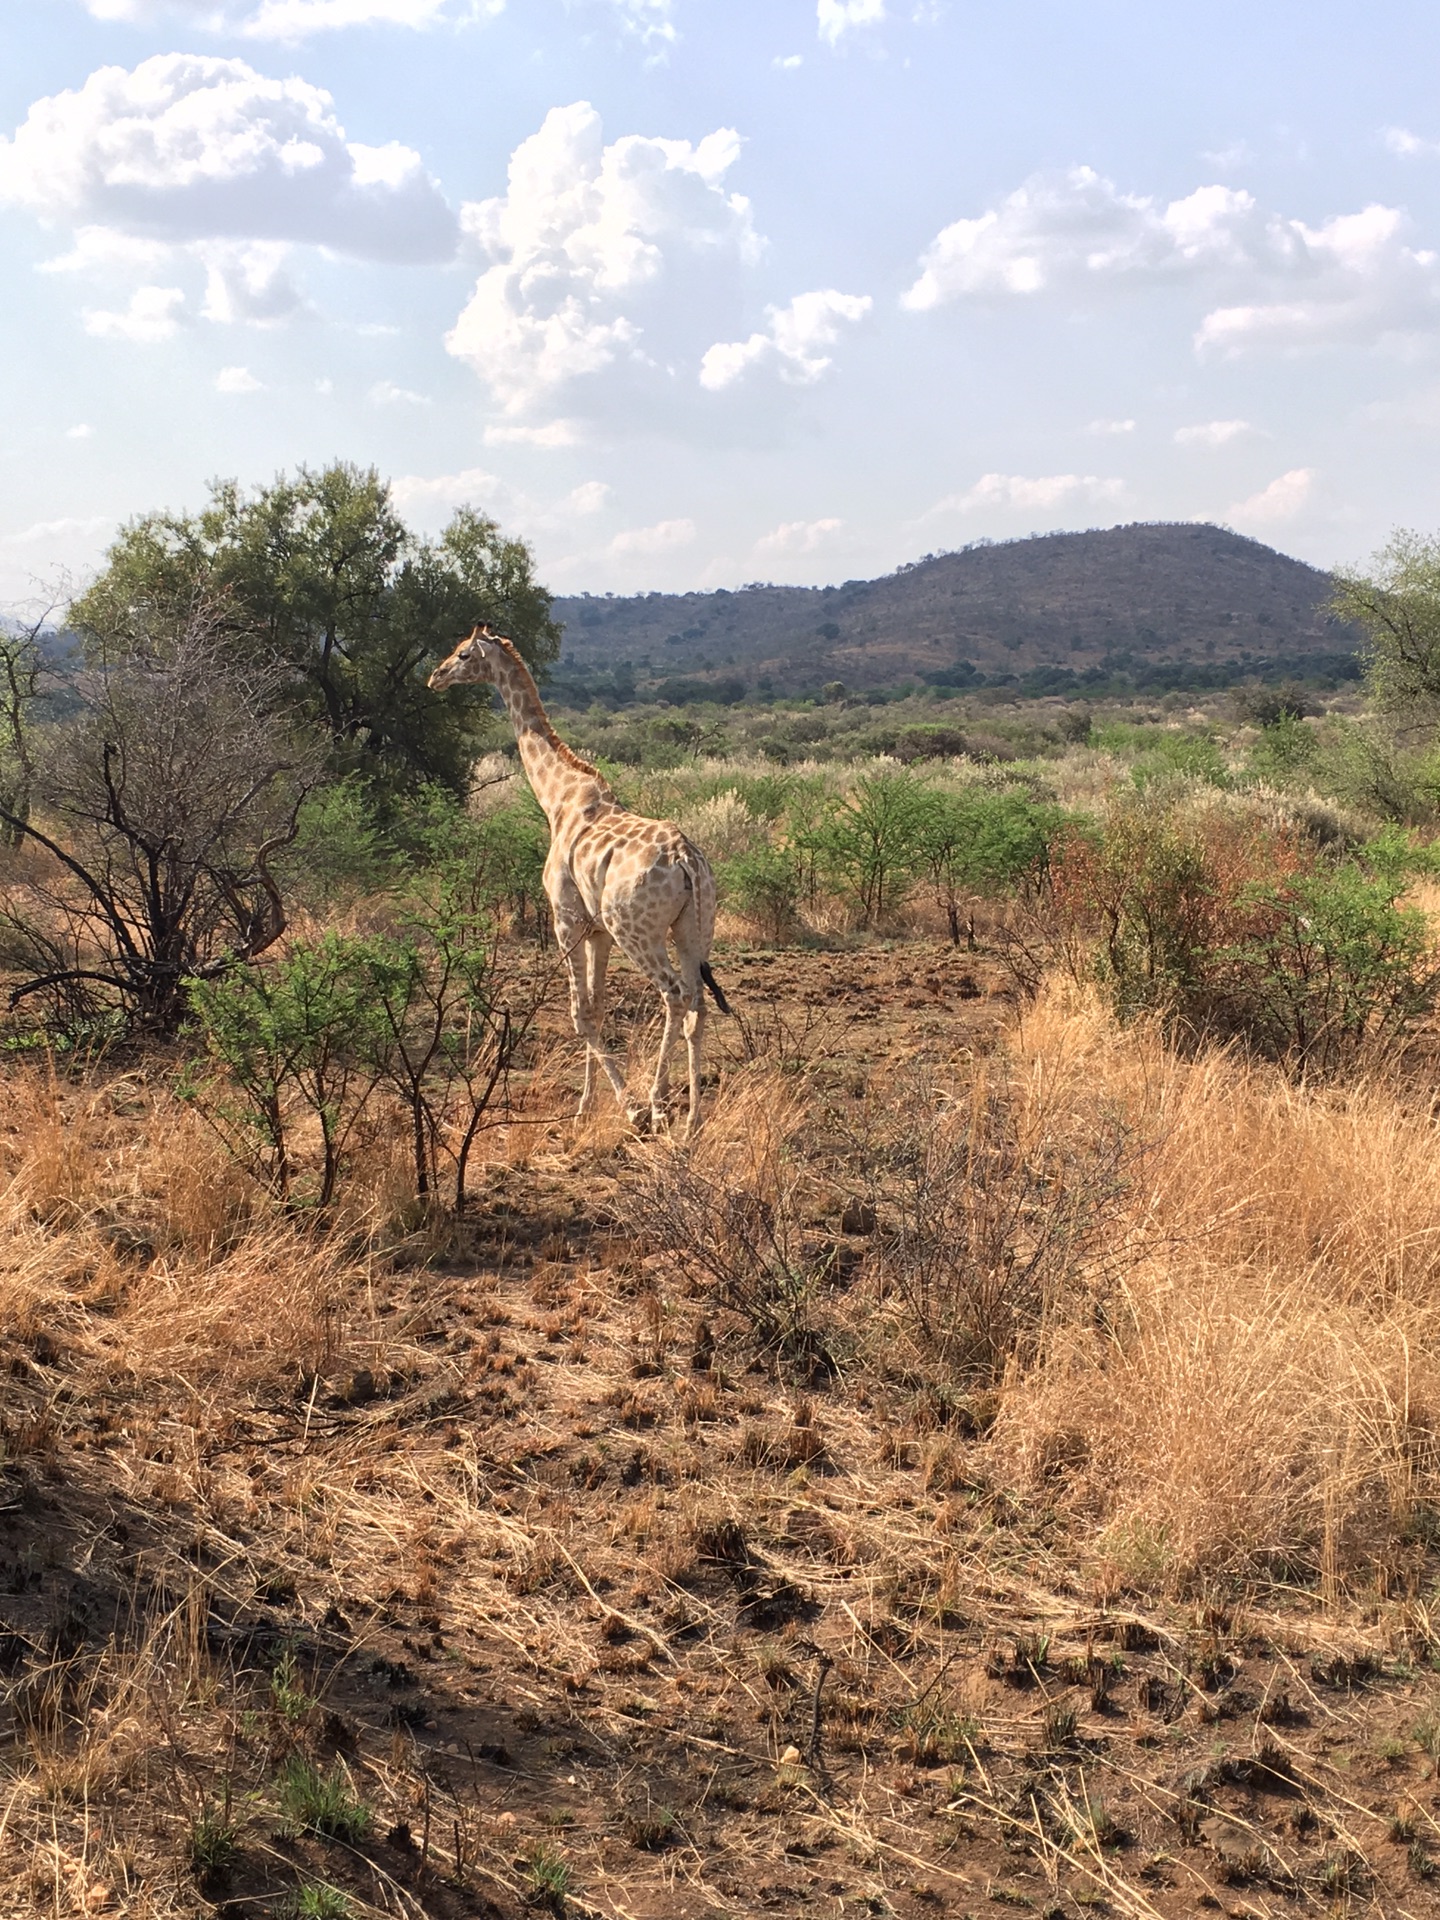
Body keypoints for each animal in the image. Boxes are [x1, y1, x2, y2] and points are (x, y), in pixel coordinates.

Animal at [426, 625, 733, 1136]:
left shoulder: (565, 920)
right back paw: (693, 1120)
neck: (558, 799)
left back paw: (657, 1102)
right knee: (698, 1005)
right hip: (695, 927)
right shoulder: (597, 933)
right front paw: (586, 1106)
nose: (435, 676)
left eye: (463, 653)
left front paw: (627, 1107)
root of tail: (686, 858)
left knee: (674, 995)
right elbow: (598, 1008)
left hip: (638, 930)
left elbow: (580, 1015)